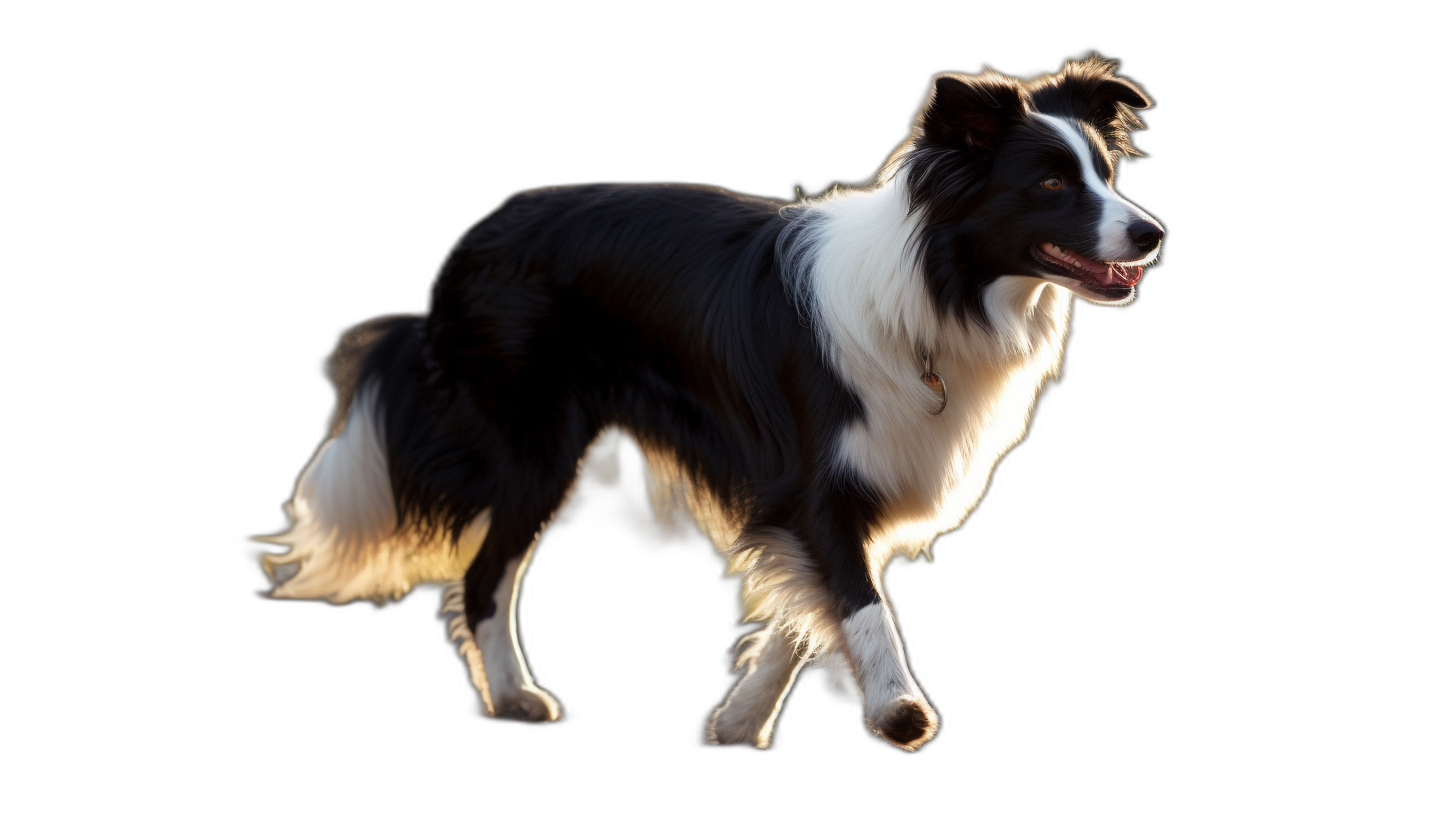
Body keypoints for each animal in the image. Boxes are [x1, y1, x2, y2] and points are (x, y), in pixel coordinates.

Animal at [259, 54, 1158, 751]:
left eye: (1107, 177)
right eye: (1050, 184)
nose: (1153, 233)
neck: (939, 287)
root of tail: (460, 255)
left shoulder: (817, 495)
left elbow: (804, 612)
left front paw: (741, 719)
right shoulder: (815, 479)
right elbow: (861, 604)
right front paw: (899, 708)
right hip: (534, 442)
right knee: (484, 577)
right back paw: (515, 698)